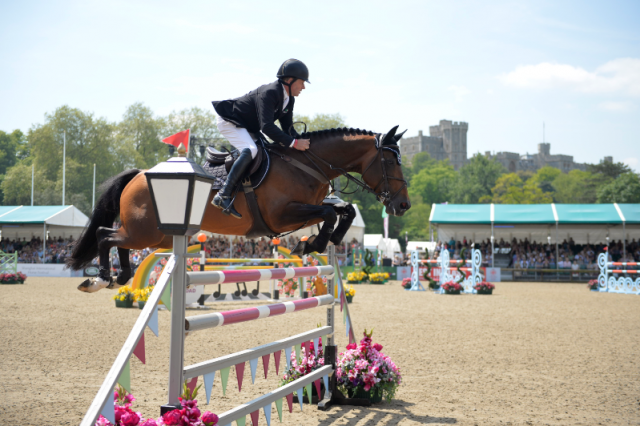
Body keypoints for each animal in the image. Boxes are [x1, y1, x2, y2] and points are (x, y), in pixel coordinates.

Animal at [67, 126, 412, 292]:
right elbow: (329, 214)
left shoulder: (308, 207)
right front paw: (311, 243)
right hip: (146, 232)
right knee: (105, 236)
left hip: (155, 236)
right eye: (391, 160)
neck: (307, 164)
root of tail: (139, 174)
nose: (403, 205)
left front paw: (324, 241)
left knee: (115, 239)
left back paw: (118, 277)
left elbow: (344, 209)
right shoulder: (282, 215)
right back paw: (99, 279)